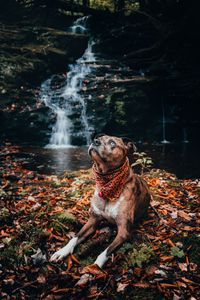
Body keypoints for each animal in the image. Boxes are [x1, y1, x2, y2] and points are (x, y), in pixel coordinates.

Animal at [50, 135, 150, 268]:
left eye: (112, 143)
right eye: (99, 138)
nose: (94, 141)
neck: (107, 183)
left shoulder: (124, 231)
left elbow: (107, 250)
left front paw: (95, 267)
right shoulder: (93, 220)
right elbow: (75, 237)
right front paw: (62, 251)